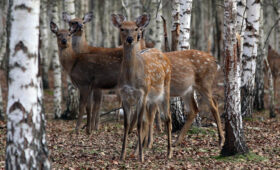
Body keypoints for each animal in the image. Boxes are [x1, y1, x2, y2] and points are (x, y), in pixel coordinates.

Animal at [111, 13, 173, 161]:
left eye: (135, 29)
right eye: (122, 28)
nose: (129, 39)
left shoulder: (142, 94)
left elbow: (139, 124)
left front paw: (141, 156)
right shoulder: (124, 96)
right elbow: (127, 125)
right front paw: (122, 155)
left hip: (165, 88)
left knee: (168, 117)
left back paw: (169, 152)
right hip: (153, 98)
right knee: (151, 118)